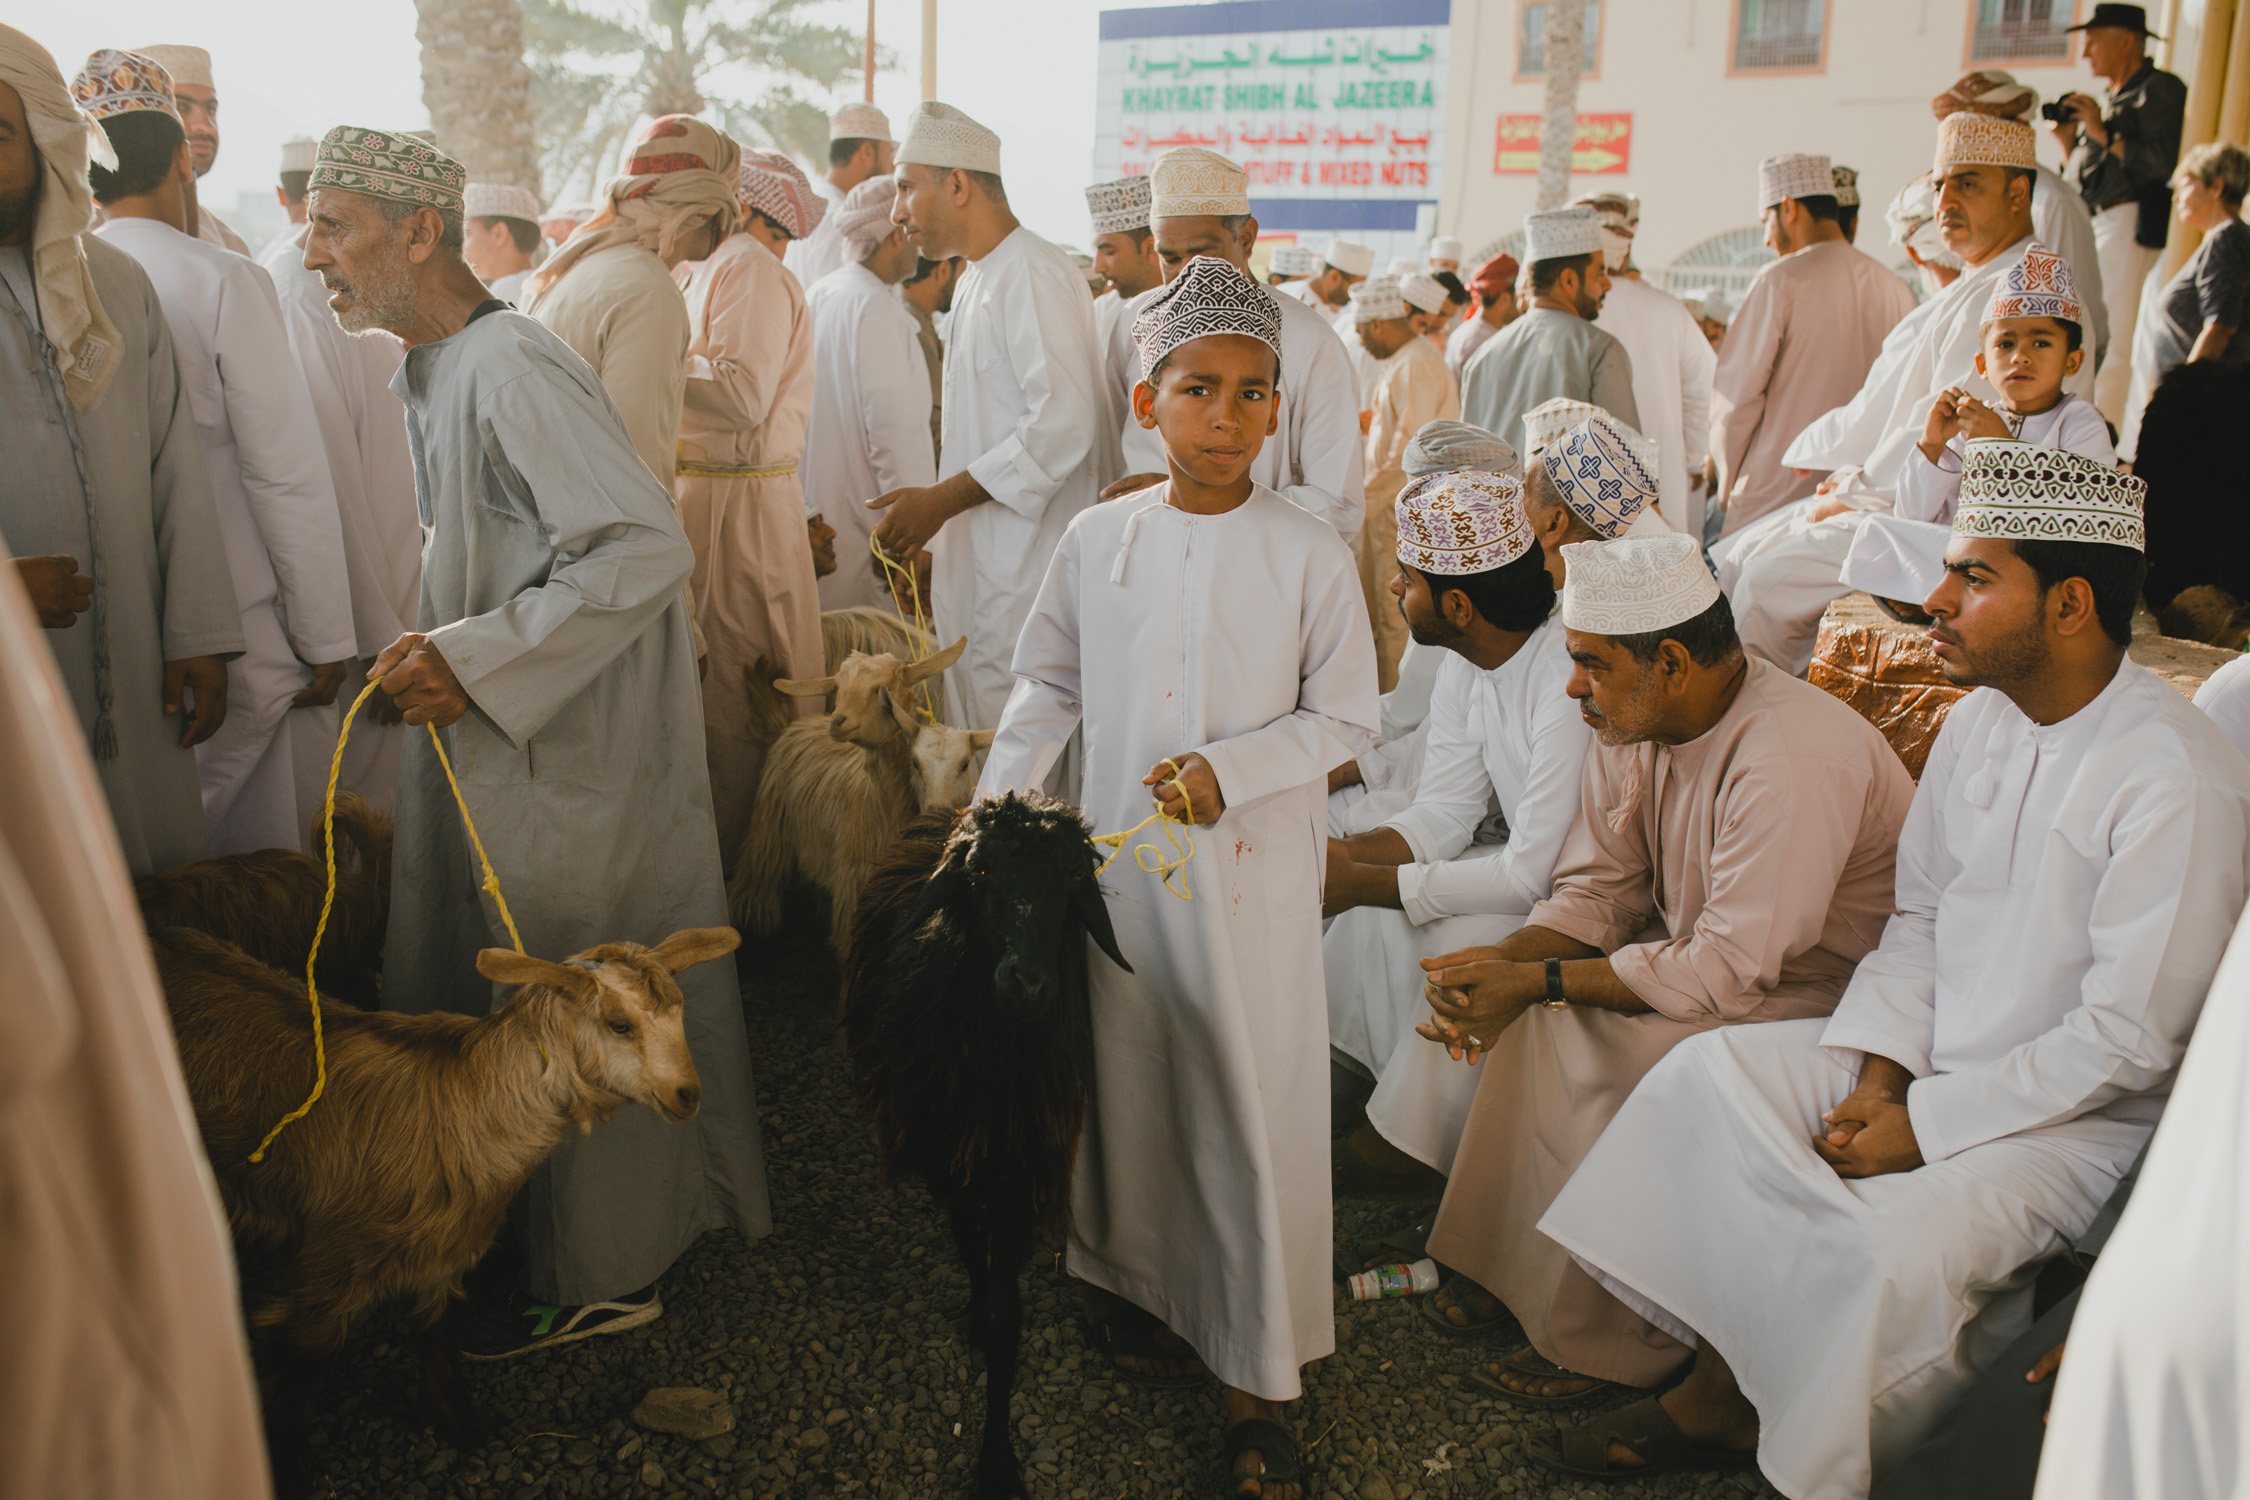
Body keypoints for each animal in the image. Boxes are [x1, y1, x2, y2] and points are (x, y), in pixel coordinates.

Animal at [158, 922, 738, 1484]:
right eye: (619, 1024)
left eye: (681, 1013)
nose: (688, 1095)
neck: (459, 1104)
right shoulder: (330, 1262)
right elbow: (306, 1355)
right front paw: (277, 1463)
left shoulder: (444, 1251)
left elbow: (436, 1332)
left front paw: (458, 1424)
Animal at [841, 791, 1134, 1493]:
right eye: (979, 875)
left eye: (1072, 877)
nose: (1028, 983)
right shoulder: (952, 1156)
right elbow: (972, 1248)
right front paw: (977, 1316)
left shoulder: (1021, 1168)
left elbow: (1007, 1313)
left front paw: (998, 1460)